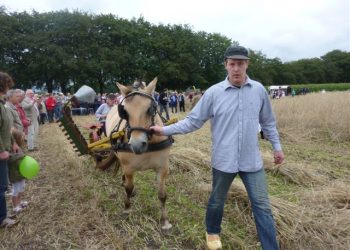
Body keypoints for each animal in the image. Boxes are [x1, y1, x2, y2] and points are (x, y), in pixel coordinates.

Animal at [105, 77, 174, 230]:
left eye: (151, 109)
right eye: (124, 111)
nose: (137, 145)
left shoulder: (162, 168)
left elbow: (162, 195)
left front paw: (165, 221)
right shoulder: (129, 168)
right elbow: (128, 189)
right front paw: (127, 209)